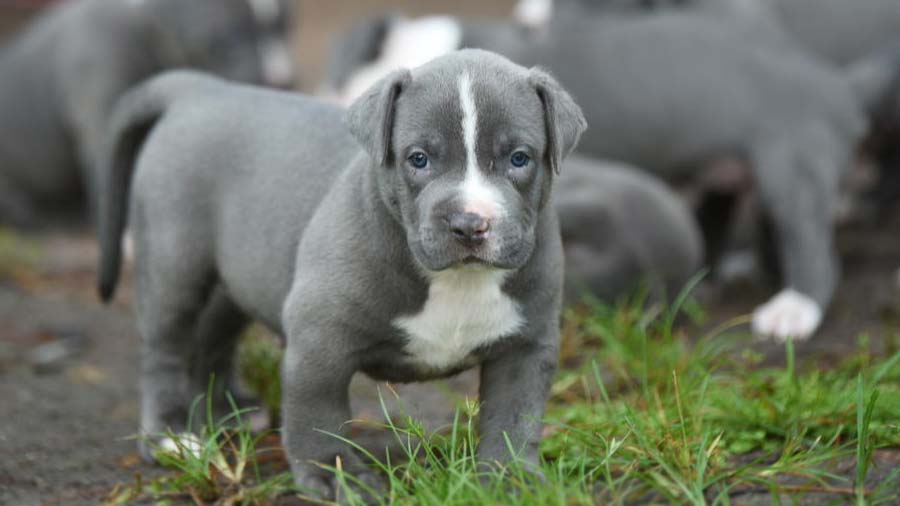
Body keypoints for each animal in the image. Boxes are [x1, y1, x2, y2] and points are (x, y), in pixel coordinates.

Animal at [98, 50, 588, 498]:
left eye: (520, 158)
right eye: (418, 159)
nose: (469, 224)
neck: (455, 279)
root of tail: (199, 89)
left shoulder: (526, 343)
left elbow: (515, 413)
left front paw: (510, 476)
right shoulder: (320, 341)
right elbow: (319, 415)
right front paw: (334, 477)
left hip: (236, 273)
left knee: (213, 336)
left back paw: (225, 410)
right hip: (174, 261)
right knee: (164, 349)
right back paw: (171, 436)